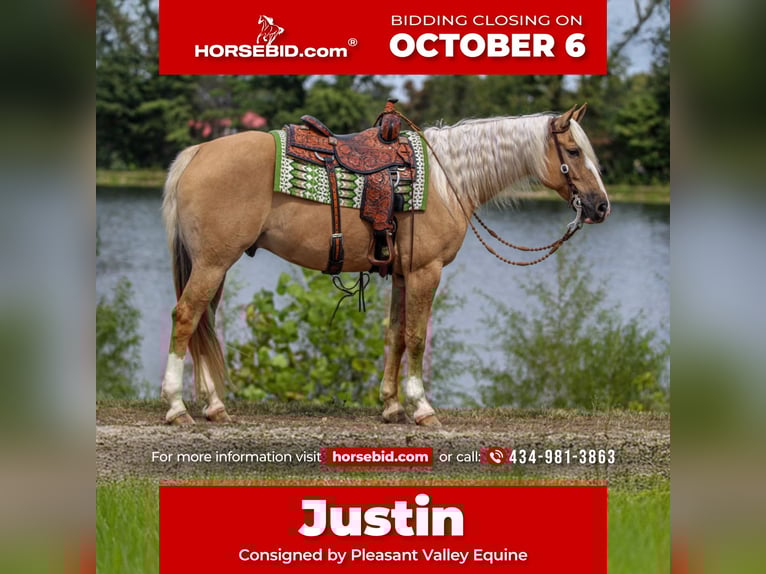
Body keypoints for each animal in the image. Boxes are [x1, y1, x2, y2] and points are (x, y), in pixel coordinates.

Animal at [159, 104, 610, 427]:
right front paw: (422, 408)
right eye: (573, 152)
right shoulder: (427, 271)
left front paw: (392, 406)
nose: (601, 206)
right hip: (213, 263)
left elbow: (395, 335)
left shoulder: (402, 276)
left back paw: (214, 406)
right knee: (186, 317)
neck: (448, 181)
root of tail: (197, 152)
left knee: (203, 322)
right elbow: (416, 338)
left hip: (215, 266)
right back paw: (177, 407)